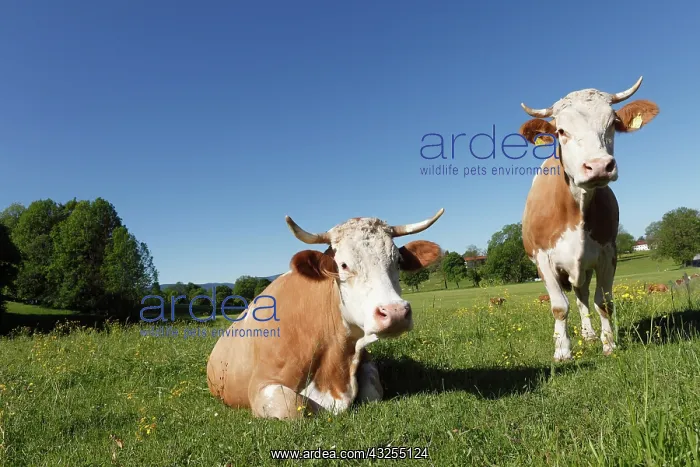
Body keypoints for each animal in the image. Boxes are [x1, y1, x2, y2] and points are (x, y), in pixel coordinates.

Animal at [206, 209, 444, 419]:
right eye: (344, 265)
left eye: (398, 261)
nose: (395, 313)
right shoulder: (261, 385)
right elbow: (294, 407)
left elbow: (373, 392)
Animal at [518, 76, 659, 361]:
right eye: (561, 131)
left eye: (612, 124)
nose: (599, 166)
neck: (577, 208)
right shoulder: (542, 259)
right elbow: (559, 307)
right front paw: (562, 351)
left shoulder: (608, 254)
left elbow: (603, 302)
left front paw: (609, 344)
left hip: (583, 268)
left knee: (582, 296)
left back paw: (590, 334)